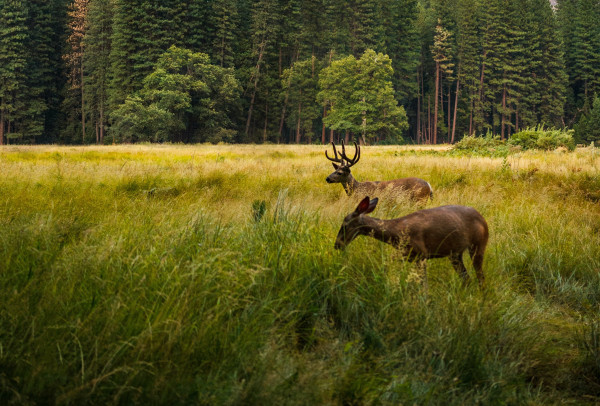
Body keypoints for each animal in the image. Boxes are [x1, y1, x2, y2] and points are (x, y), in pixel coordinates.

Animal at [332, 197, 488, 288]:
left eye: (344, 225)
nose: (337, 245)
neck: (396, 232)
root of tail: (482, 218)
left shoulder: (421, 254)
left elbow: (423, 285)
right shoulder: (405, 255)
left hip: (479, 245)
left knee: (480, 277)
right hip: (455, 254)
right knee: (466, 278)